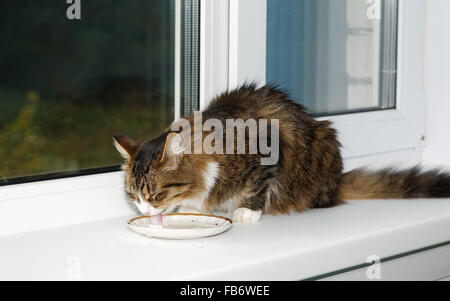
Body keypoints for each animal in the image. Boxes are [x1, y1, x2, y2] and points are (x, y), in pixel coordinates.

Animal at [111, 84, 450, 223]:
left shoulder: (268, 147)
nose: (145, 211)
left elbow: (257, 186)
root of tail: (337, 181)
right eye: (134, 196)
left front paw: (246, 211)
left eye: (155, 195)